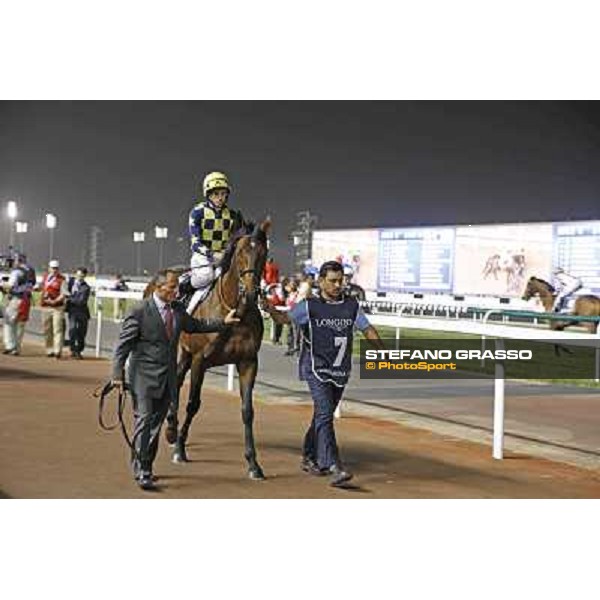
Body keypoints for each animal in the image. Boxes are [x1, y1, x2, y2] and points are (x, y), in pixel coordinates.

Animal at [145, 220, 270, 478]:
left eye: (264, 253)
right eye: (241, 253)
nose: (251, 292)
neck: (234, 310)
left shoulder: (248, 362)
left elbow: (247, 410)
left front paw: (253, 463)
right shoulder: (200, 360)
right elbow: (193, 404)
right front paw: (180, 450)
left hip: (183, 354)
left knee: (175, 382)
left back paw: (170, 428)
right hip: (177, 351)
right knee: (174, 384)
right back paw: (170, 430)